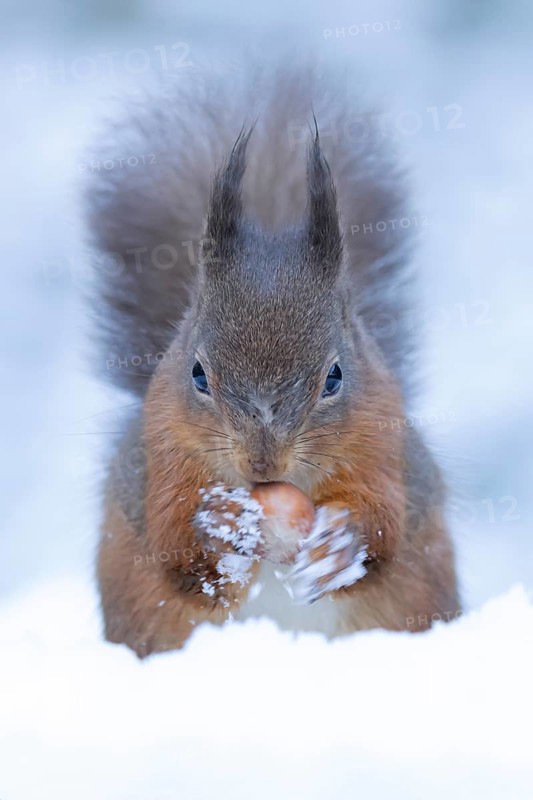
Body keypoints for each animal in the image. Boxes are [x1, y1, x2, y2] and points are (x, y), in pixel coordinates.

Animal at [87, 64, 460, 658]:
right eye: (198, 374)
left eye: (335, 376)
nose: (262, 464)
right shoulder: (160, 454)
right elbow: (176, 548)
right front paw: (218, 524)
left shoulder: (383, 442)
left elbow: (385, 521)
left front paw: (341, 542)